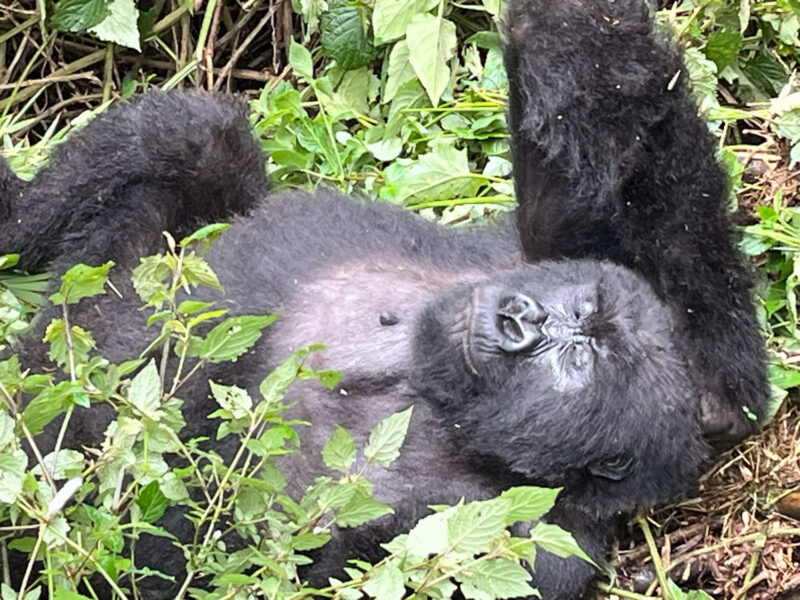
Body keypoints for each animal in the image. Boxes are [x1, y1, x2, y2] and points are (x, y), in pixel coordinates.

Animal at [0, 0, 772, 596]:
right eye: (577, 308)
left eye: (577, 364)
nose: (518, 319)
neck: (440, 407)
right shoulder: (547, 256)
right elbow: (624, 149)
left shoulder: (532, 544)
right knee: (191, 136)